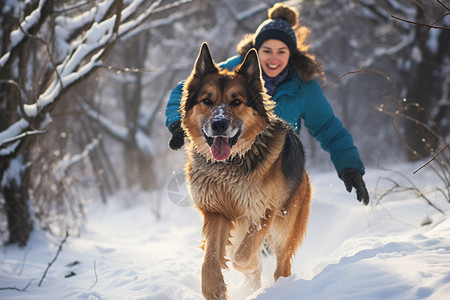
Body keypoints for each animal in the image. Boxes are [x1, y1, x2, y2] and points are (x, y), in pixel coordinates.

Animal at [179, 43, 310, 298]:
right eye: (207, 101)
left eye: (236, 101)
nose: (219, 124)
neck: (230, 165)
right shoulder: (216, 211)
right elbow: (210, 256)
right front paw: (214, 288)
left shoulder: (263, 211)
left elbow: (242, 256)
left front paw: (250, 268)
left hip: (285, 226)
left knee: (281, 264)